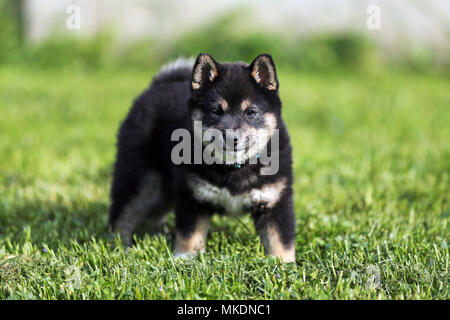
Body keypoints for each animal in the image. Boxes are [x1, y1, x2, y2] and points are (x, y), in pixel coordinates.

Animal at [110, 53, 296, 262]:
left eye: (250, 112)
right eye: (217, 111)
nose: (231, 137)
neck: (234, 168)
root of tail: (157, 85)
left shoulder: (275, 200)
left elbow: (280, 242)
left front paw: (284, 265)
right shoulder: (192, 196)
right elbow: (189, 235)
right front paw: (184, 260)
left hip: (162, 190)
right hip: (140, 179)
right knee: (123, 213)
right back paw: (120, 248)